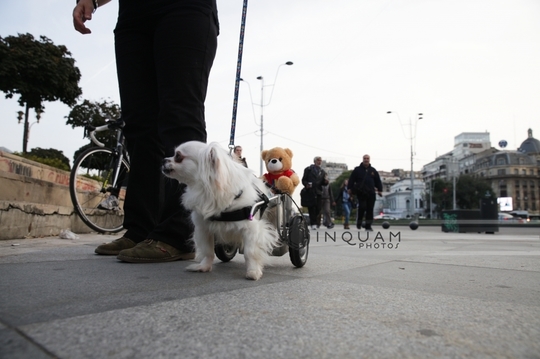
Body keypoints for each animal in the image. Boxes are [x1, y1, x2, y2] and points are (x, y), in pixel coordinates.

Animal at [161, 141, 278, 282]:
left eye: (178, 156)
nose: (163, 160)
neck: (208, 191)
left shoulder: (251, 229)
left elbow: (250, 253)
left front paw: (253, 271)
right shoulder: (203, 228)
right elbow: (208, 251)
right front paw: (204, 267)